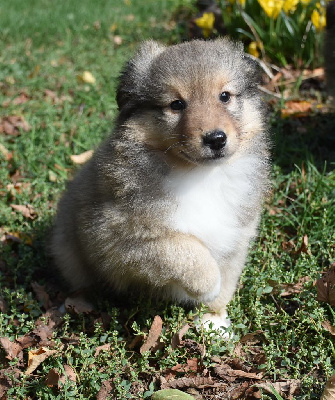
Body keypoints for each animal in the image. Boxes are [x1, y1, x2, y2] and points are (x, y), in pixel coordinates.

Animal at [51, 38, 272, 332]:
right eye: (176, 104)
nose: (216, 139)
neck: (200, 176)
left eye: (224, 96)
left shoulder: (238, 234)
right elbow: (183, 247)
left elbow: (226, 279)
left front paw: (214, 321)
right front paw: (208, 286)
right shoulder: (119, 235)